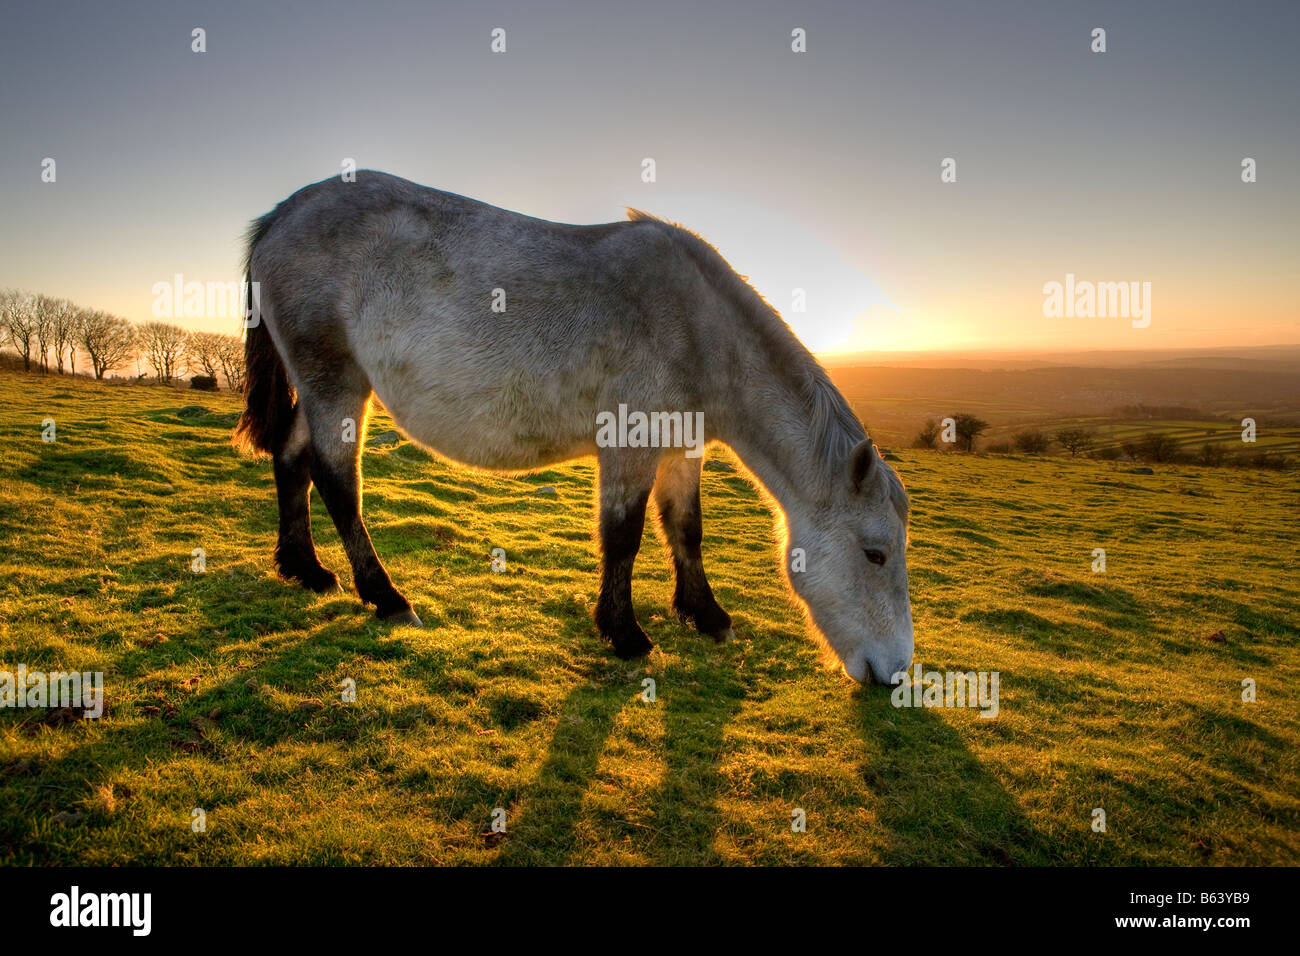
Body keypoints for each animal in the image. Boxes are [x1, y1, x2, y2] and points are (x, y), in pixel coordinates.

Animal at [233, 171, 913, 684]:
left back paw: (304, 569)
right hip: (335, 383)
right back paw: (386, 598)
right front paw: (625, 633)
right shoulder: (630, 444)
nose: (897, 672)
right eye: (875, 554)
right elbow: (624, 535)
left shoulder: (681, 449)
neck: (700, 326)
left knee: (292, 458)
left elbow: (686, 530)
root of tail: (283, 215)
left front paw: (706, 615)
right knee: (336, 481)